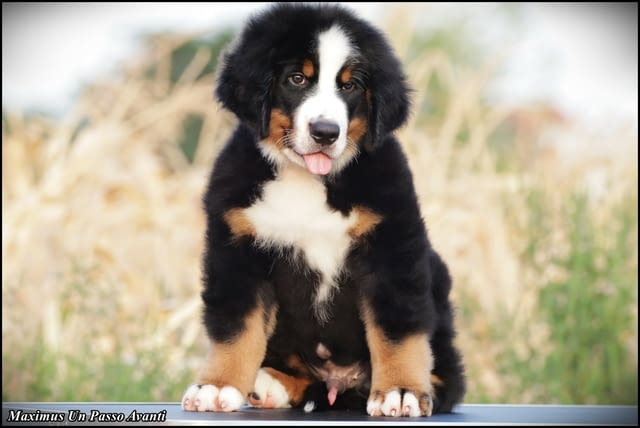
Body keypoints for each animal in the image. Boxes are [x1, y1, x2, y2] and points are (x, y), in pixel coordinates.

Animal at [180, 2, 464, 418]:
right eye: (297, 79)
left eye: (350, 86)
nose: (326, 132)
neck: (307, 181)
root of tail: (339, 382)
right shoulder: (236, 251)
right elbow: (236, 328)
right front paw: (218, 386)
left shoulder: (392, 248)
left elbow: (397, 330)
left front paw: (400, 391)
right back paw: (269, 384)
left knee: (450, 377)